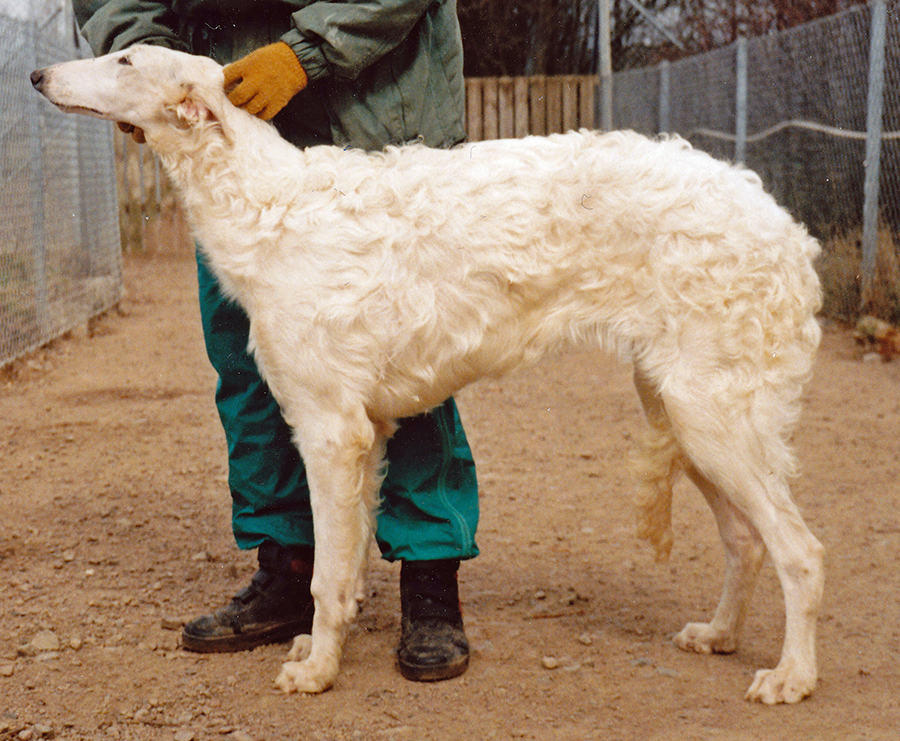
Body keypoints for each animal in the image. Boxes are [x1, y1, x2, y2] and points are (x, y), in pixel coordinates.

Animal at [33, 46, 824, 704]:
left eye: (125, 59)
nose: (39, 76)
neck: (269, 204)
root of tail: (783, 223)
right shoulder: (366, 430)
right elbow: (346, 570)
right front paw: (320, 646)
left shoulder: (330, 430)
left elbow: (326, 574)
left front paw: (317, 672)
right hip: (683, 411)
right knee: (748, 540)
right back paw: (718, 634)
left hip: (710, 415)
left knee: (800, 551)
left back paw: (792, 676)